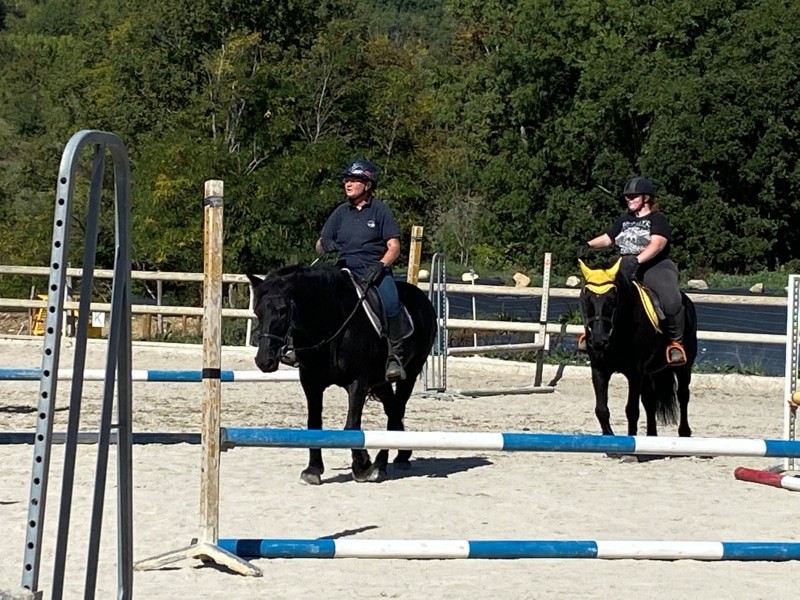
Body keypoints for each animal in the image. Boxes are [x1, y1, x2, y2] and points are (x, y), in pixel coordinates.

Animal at [248, 264, 437, 484]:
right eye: (257, 311)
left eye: (283, 310)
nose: (264, 361)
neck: (332, 324)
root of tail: (422, 297)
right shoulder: (311, 382)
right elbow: (314, 424)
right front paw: (313, 470)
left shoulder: (357, 382)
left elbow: (352, 427)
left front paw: (362, 466)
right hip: (382, 382)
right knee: (393, 411)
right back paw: (398, 456)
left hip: (411, 372)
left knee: (396, 410)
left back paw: (380, 465)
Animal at [578, 259, 697, 448]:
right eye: (586, 298)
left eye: (612, 299)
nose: (598, 341)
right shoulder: (599, 369)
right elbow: (601, 409)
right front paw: (609, 438)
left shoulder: (635, 372)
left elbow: (632, 410)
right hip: (648, 373)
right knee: (650, 400)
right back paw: (651, 436)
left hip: (684, 366)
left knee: (683, 395)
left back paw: (684, 433)